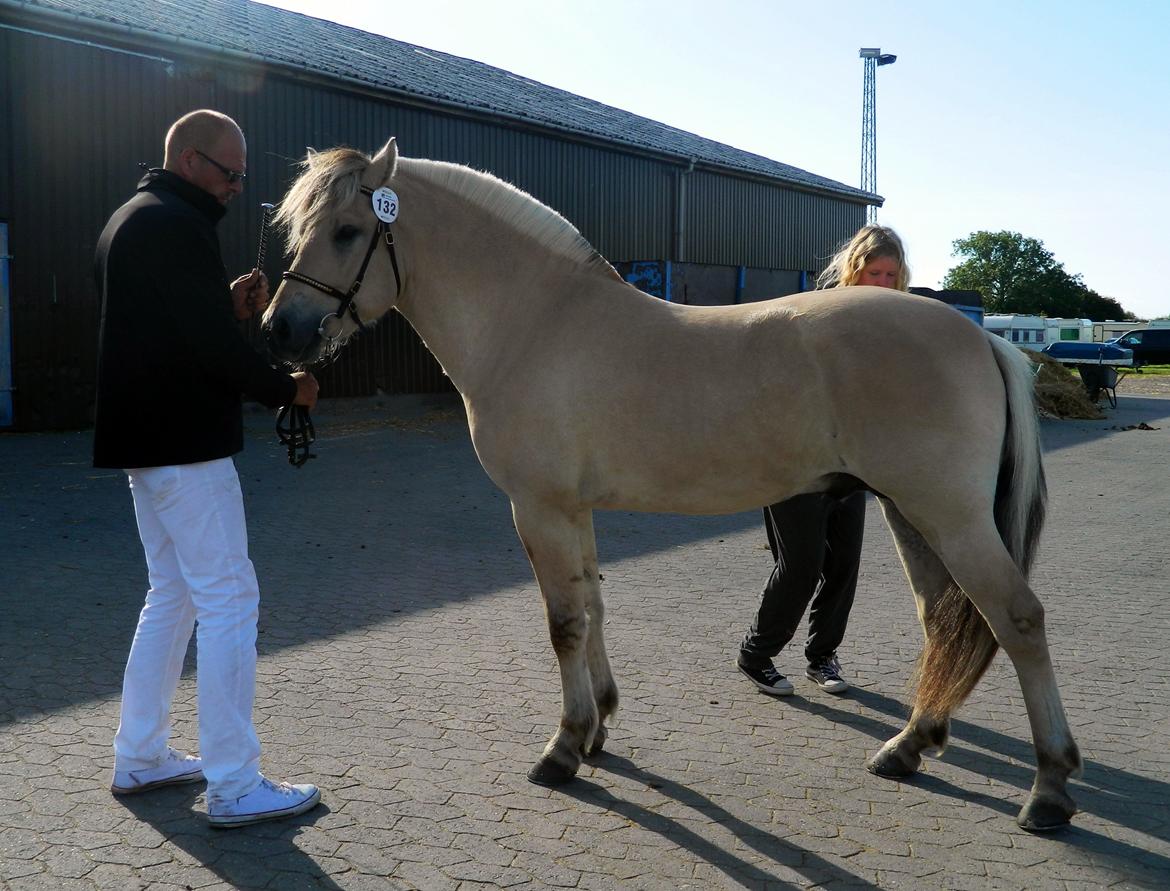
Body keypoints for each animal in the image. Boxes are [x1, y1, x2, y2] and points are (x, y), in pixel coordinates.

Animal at [260, 137, 1081, 827]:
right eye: (299, 229)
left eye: (346, 230)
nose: (281, 331)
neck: (536, 322)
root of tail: (981, 337)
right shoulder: (573, 512)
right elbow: (592, 608)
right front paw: (599, 727)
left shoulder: (538, 509)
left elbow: (564, 623)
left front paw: (564, 748)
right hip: (916, 517)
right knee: (944, 618)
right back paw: (908, 747)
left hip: (948, 515)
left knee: (1018, 619)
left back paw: (1048, 788)